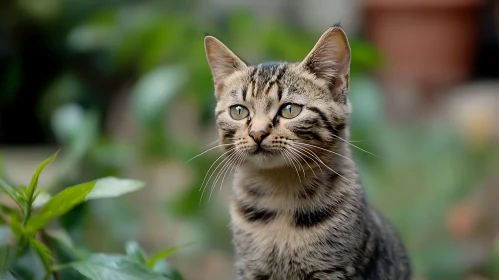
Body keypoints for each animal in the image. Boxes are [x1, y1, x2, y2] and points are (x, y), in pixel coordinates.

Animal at [205, 24, 412, 280]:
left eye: (289, 109)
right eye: (239, 111)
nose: (257, 133)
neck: (281, 195)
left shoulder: (334, 270)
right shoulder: (250, 269)